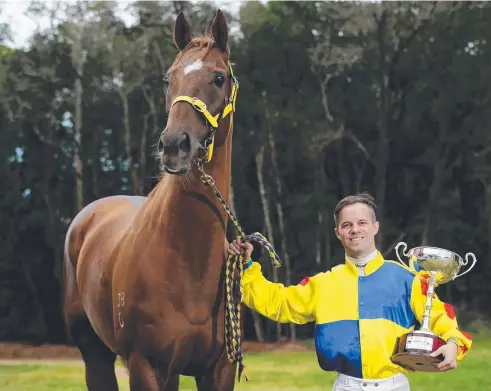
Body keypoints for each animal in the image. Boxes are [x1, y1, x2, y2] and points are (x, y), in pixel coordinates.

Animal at [63, 10, 244, 390]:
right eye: (168, 78)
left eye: (219, 77)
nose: (174, 145)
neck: (188, 261)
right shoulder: (145, 364)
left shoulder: (218, 369)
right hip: (95, 354)